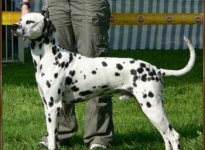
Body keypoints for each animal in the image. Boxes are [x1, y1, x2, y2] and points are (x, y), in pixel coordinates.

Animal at [11, 12, 195, 150]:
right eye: (21, 19)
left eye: (30, 21)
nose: (14, 26)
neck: (50, 57)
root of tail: (154, 69)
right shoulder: (49, 106)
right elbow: (52, 136)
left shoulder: (53, 106)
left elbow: (52, 140)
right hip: (150, 110)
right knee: (166, 136)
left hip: (152, 108)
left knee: (173, 136)